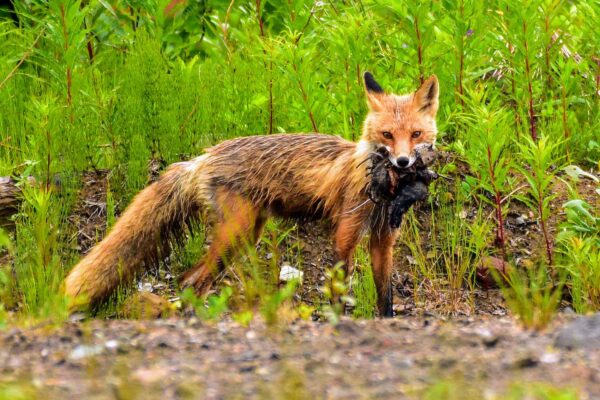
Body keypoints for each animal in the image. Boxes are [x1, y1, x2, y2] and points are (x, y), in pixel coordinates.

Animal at [64, 72, 440, 316]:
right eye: (387, 135)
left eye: (416, 134)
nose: (404, 162)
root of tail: (202, 157)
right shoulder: (346, 234)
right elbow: (337, 289)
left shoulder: (383, 239)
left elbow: (385, 296)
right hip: (236, 234)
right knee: (192, 280)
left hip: (246, 235)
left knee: (189, 279)